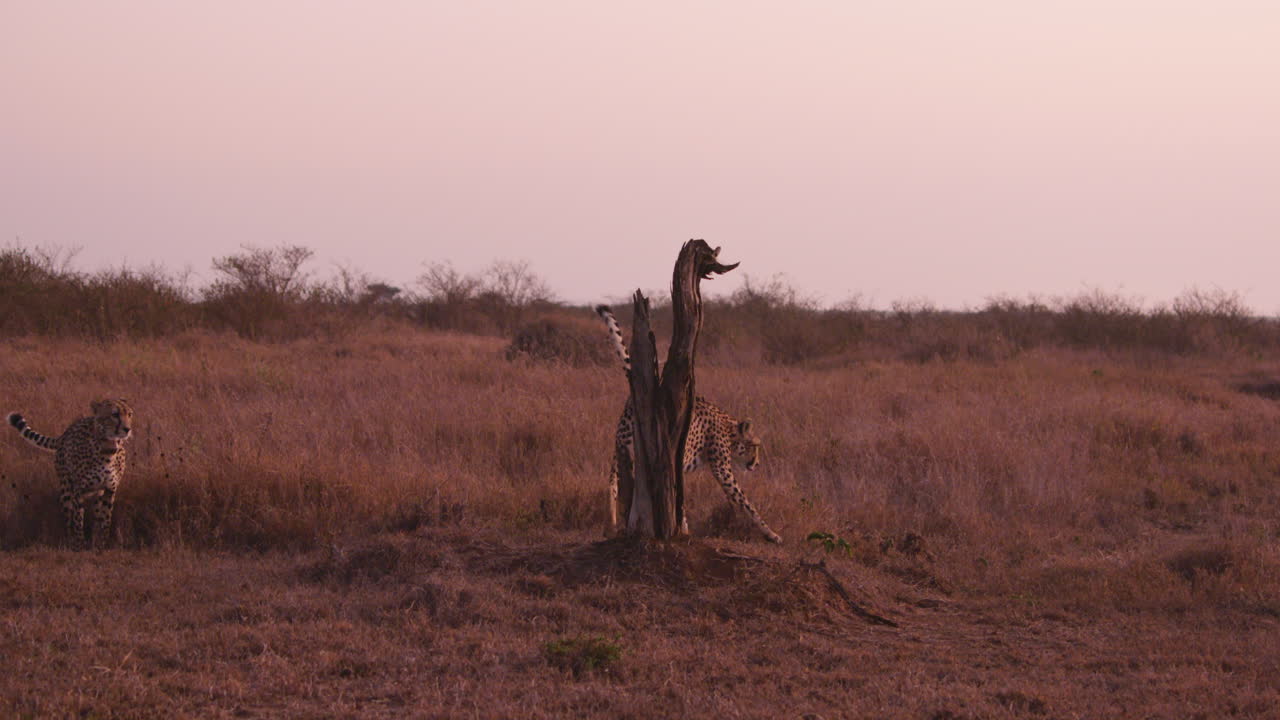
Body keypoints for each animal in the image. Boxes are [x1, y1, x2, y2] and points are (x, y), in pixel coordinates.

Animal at [8, 399, 134, 549]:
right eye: (115, 414)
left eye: (129, 414)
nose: (127, 429)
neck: (108, 449)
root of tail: (64, 433)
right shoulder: (79, 490)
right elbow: (78, 520)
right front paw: (79, 545)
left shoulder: (110, 489)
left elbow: (105, 520)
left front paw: (101, 545)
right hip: (66, 490)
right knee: (68, 519)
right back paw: (70, 543)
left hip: (97, 493)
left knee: (96, 516)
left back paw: (94, 541)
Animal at [596, 305, 781, 543]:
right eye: (754, 446)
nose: (756, 464)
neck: (729, 431)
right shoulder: (722, 469)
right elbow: (745, 503)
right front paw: (771, 533)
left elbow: (679, 494)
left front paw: (682, 527)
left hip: (622, 445)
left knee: (613, 481)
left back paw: (611, 524)